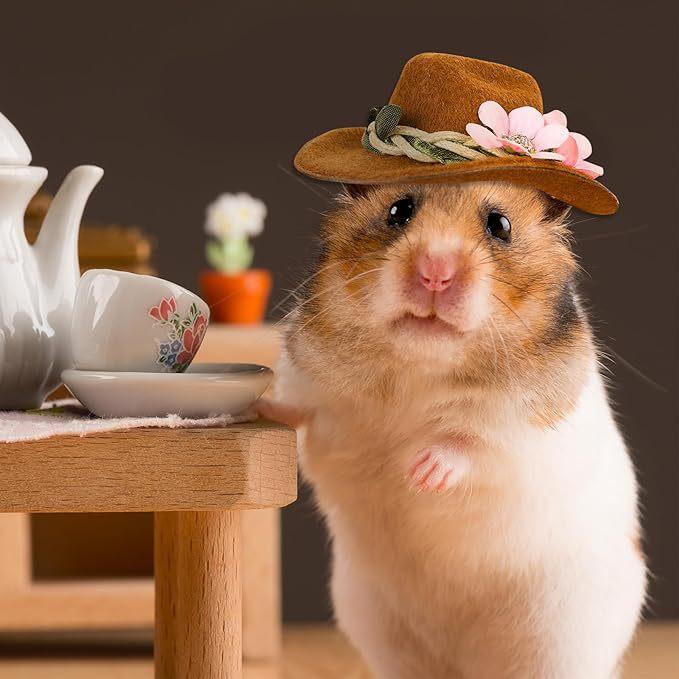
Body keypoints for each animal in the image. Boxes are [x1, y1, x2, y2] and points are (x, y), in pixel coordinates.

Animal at [266, 181, 646, 679]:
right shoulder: (307, 385)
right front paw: (256, 403)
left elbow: (470, 444)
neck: (421, 364)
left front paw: (418, 473)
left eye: (500, 225)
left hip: (561, 640)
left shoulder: (525, 433)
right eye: (398, 211)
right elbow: (290, 408)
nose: (435, 273)